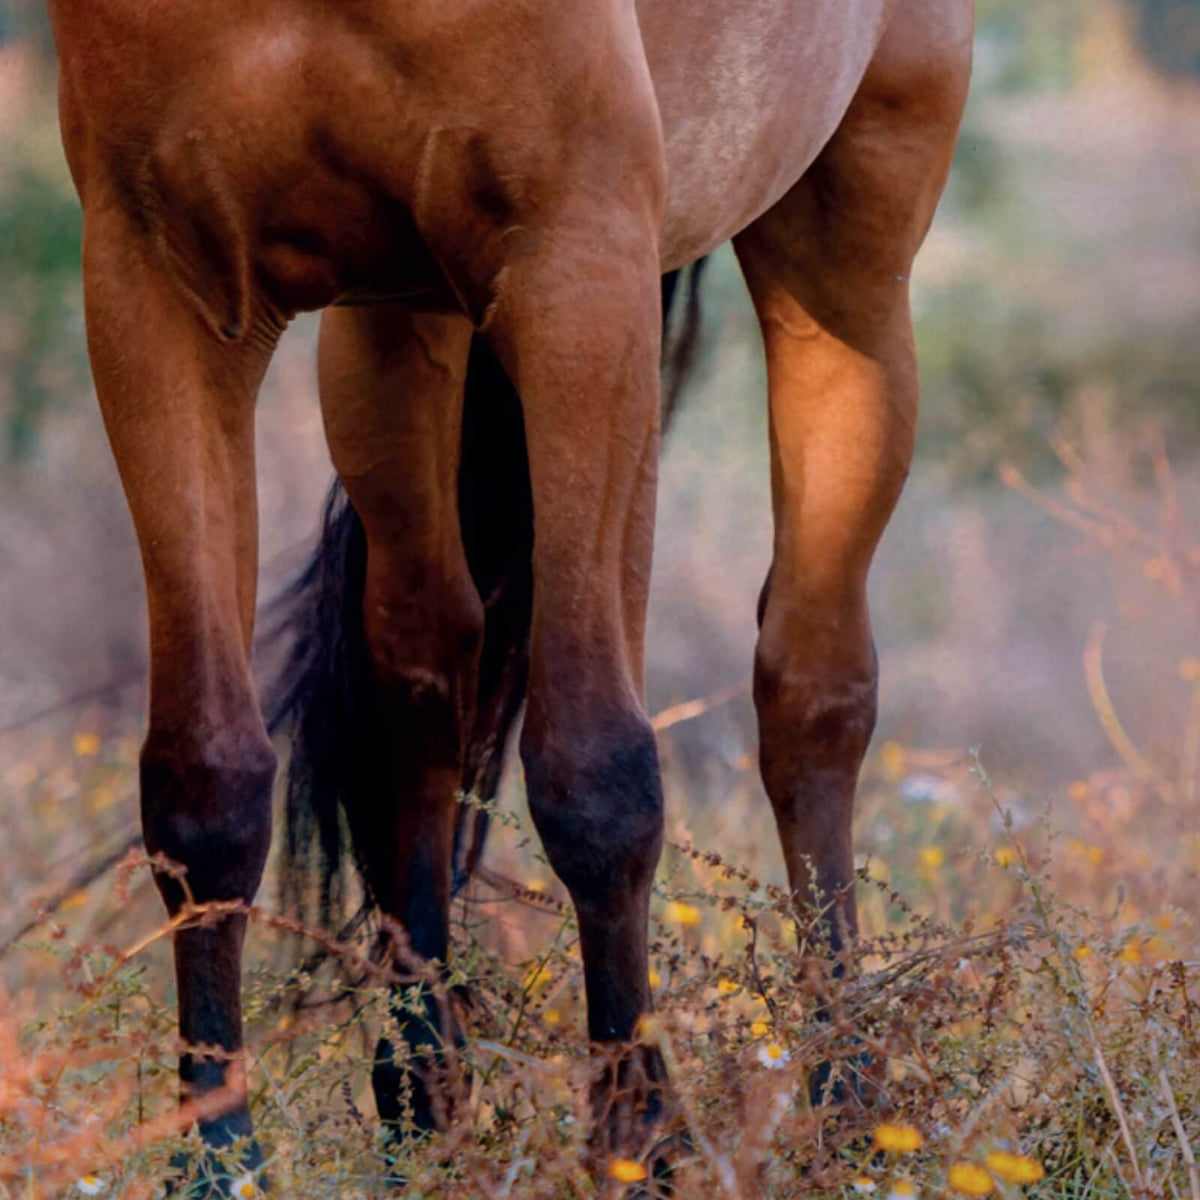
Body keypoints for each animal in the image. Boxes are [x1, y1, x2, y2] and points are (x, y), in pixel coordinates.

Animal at [46, 0, 973, 1188]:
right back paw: (419, 1105)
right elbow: (203, 780)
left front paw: (636, 1147)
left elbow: (597, 775)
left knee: (811, 688)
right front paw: (217, 1162)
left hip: (847, 242)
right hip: (397, 330)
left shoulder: (578, 273)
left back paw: (850, 1111)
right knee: (424, 668)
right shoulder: (157, 292)